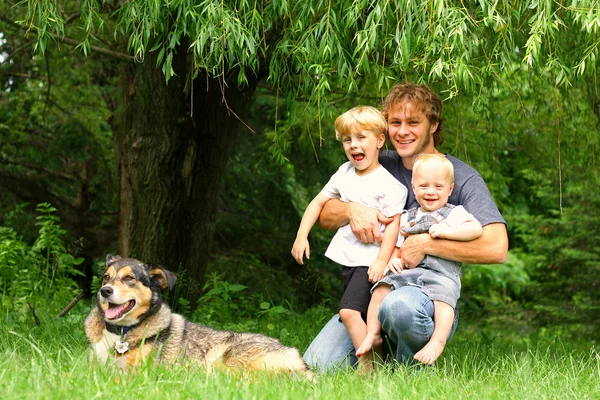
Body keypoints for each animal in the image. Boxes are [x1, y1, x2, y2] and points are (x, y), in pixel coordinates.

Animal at [85, 253, 314, 378]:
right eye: (106, 277)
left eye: (129, 278)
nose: (104, 290)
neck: (120, 332)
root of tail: (297, 357)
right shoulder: (92, 366)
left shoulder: (139, 372)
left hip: (226, 357)